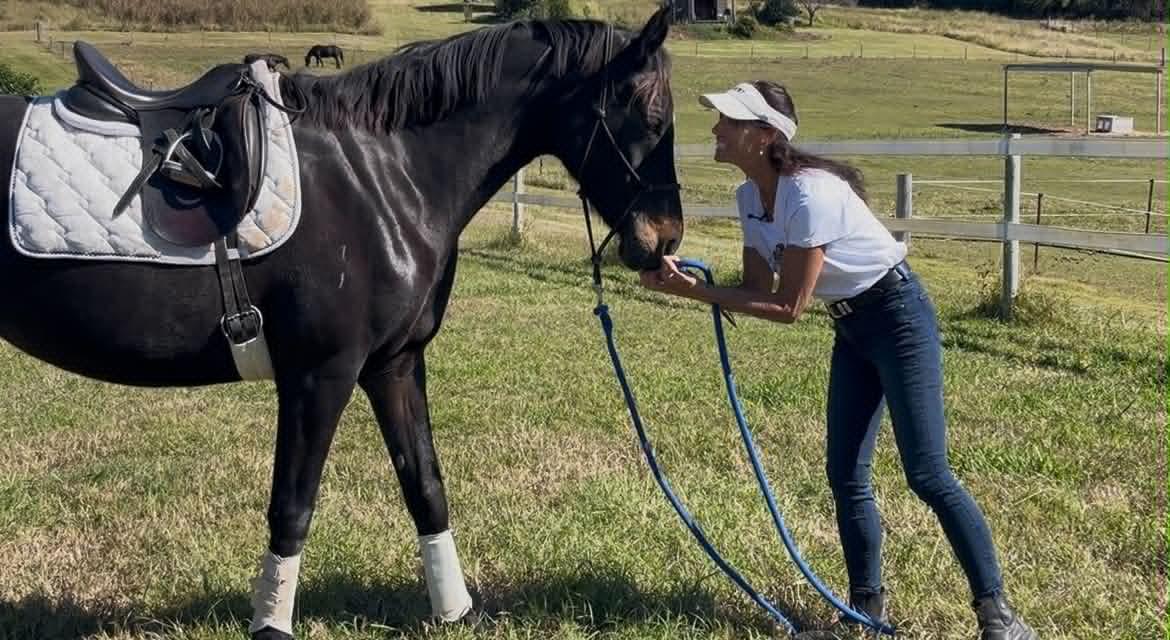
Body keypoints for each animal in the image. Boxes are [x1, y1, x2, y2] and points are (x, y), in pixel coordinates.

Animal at [0, 7, 681, 639]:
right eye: (651, 121)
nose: (666, 240)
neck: (383, 175)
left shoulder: (395, 365)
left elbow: (425, 487)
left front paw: (454, 611)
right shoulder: (320, 375)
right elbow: (293, 507)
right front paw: (271, 624)